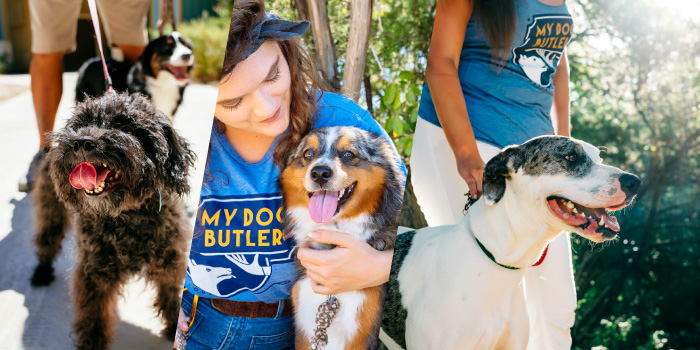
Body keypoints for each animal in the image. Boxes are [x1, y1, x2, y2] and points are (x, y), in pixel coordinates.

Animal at [29, 93, 194, 350]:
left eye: (127, 127)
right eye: (80, 124)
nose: (81, 142)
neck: (127, 215)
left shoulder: (170, 259)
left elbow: (170, 295)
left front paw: (174, 328)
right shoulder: (94, 271)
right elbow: (93, 314)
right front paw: (92, 343)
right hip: (50, 209)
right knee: (47, 238)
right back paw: (42, 272)